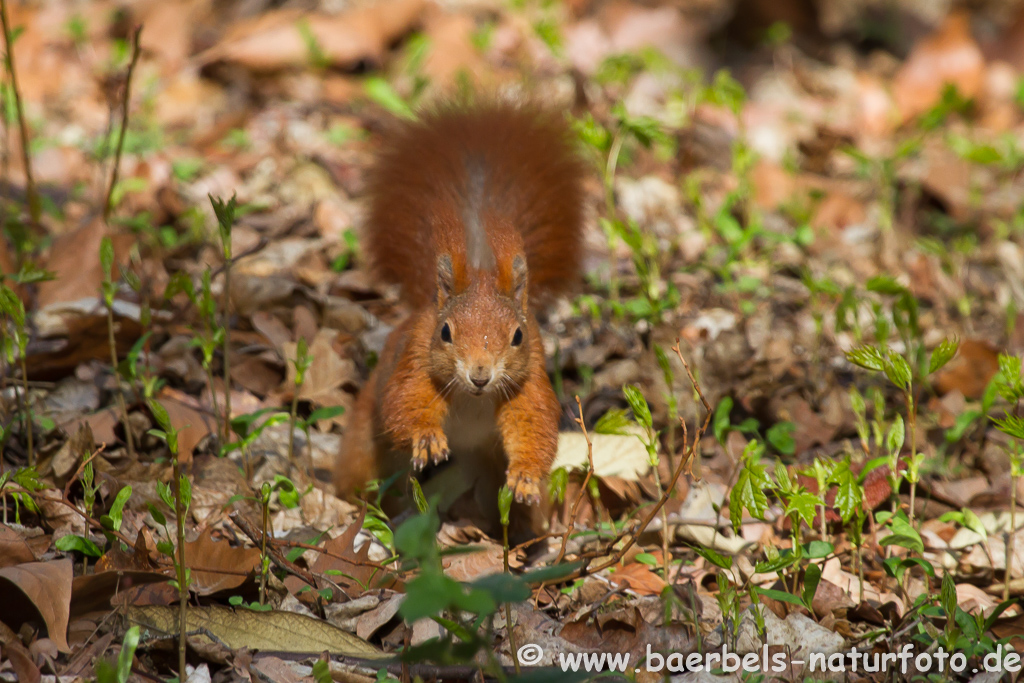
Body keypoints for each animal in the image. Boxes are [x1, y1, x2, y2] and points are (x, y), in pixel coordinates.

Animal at [335, 98, 585, 520]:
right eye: (445, 332)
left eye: (518, 336)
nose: (480, 375)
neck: (474, 399)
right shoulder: (414, 359)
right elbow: (404, 403)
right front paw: (426, 438)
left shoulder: (530, 379)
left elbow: (533, 425)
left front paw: (525, 476)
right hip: (365, 444)